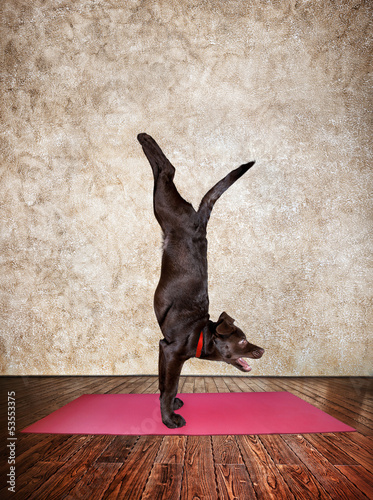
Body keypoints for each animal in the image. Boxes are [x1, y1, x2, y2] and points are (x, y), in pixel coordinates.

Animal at [138, 134, 264, 430]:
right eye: (243, 341)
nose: (263, 350)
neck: (199, 333)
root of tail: (200, 222)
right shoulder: (172, 353)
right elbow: (170, 385)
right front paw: (169, 419)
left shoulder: (162, 348)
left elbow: (163, 384)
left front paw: (170, 406)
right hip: (167, 208)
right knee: (167, 170)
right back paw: (144, 138)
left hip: (166, 210)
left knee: (164, 171)